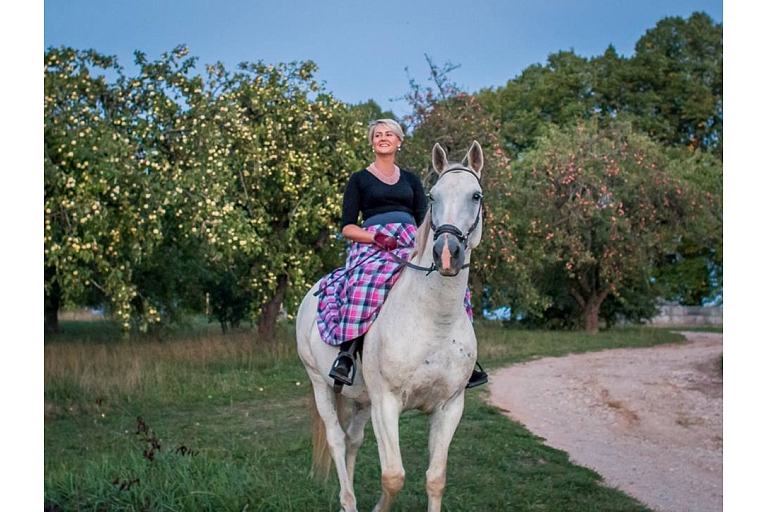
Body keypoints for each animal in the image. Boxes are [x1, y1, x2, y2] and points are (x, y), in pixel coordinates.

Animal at [296, 141, 484, 512]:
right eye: (434, 196)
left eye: (476, 196)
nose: (446, 253)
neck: (433, 322)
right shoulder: (387, 403)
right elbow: (393, 477)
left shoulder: (450, 406)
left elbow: (436, 479)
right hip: (319, 383)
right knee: (337, 440)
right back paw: (348, 502)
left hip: (362, 398)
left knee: (353, 439)